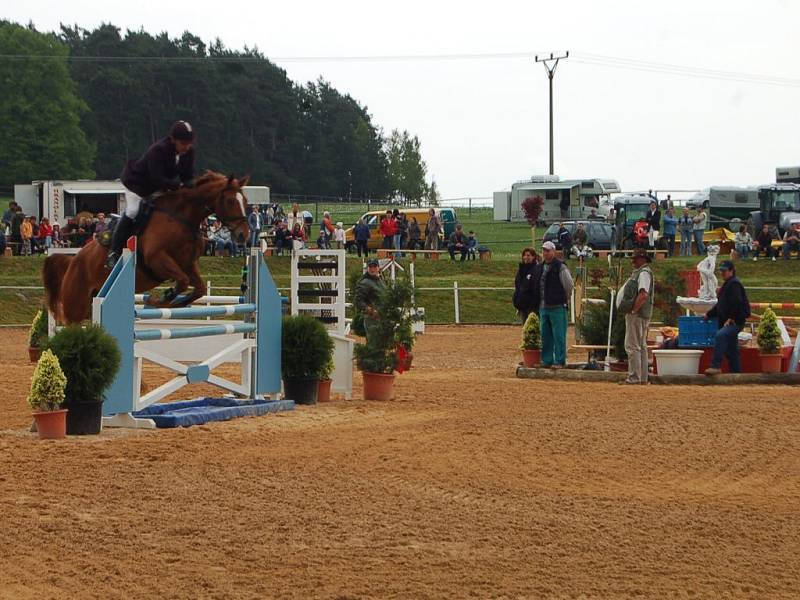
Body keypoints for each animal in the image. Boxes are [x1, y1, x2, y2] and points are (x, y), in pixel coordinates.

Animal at [43, 171, 250, 326]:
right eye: (230, 201)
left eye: (246, 201)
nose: (244, 235)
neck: (181, 218)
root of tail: (73, 261)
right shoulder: (156, 258)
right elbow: (182, 281)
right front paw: (160, 298)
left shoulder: (188, 264)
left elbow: (198, 289)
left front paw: (174, 302)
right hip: (75, 306)